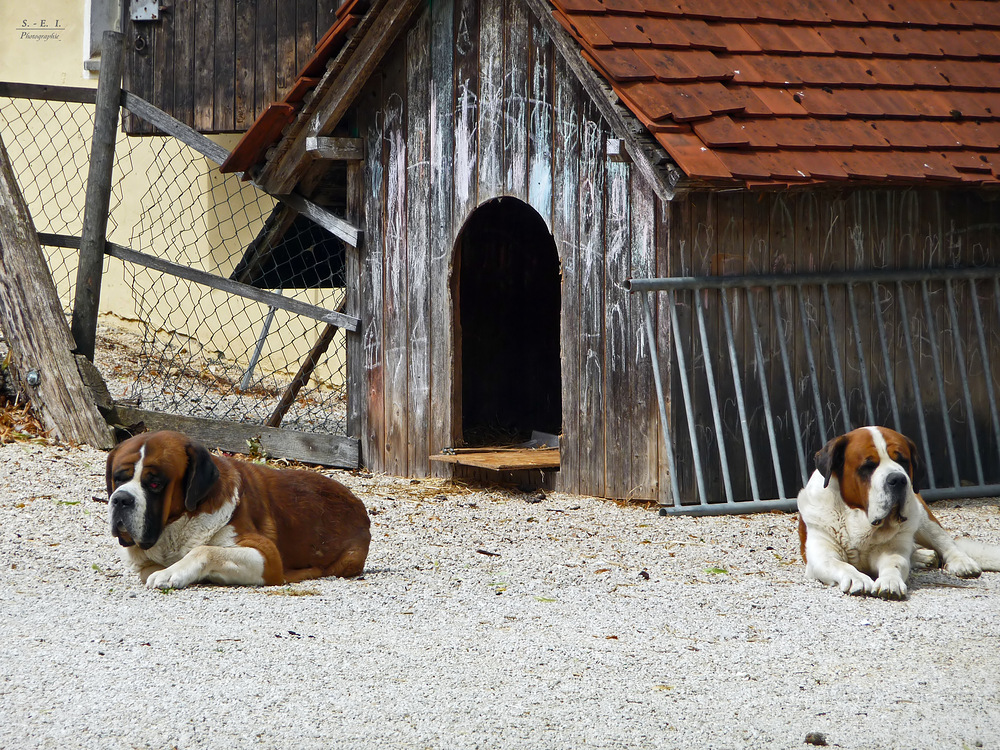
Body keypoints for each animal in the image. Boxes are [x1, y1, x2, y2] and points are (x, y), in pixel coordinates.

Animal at [106, 432, 372, 592]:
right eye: (118, 478)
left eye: (154, 484)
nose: (121, 499)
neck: (176, 528)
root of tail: (359, 506)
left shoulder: (266, 557)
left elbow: (205, 550)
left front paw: (172, 573)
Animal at [796, 428, 1000, 600]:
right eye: (869, 465)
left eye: (902, 461)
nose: (898, 479)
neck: (860, 518)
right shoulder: (821, 555)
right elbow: (839, 564)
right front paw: (857, 578)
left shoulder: (892, 549)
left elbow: (894, 563)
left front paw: (890, 582)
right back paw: (923, 557)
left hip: (921, 515)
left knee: (945, 542)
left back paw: (961, 562)